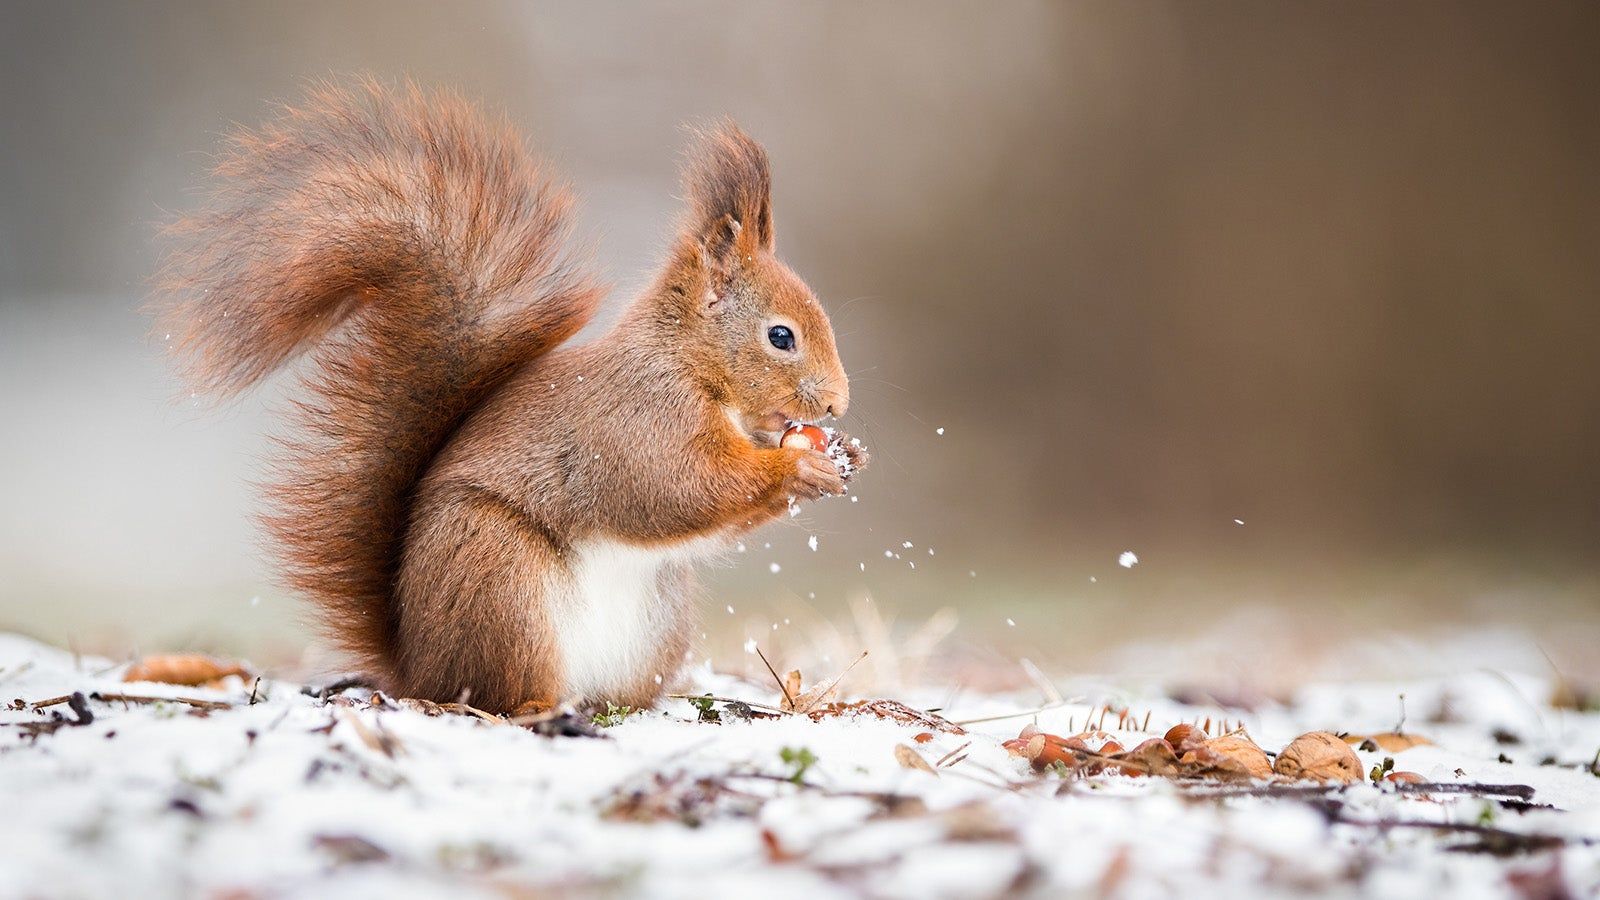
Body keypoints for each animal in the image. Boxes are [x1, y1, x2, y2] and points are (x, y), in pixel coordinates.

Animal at [152, 80, 867, 713]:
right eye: (780, 337)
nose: (836, 406)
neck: (691, 368)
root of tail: (417, 665)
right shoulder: (639, 419)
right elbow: (677, 487)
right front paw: (797, 466)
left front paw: (844, 457)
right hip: (500, 581)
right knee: (497, 689)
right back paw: (537, 708)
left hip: (656, 623)